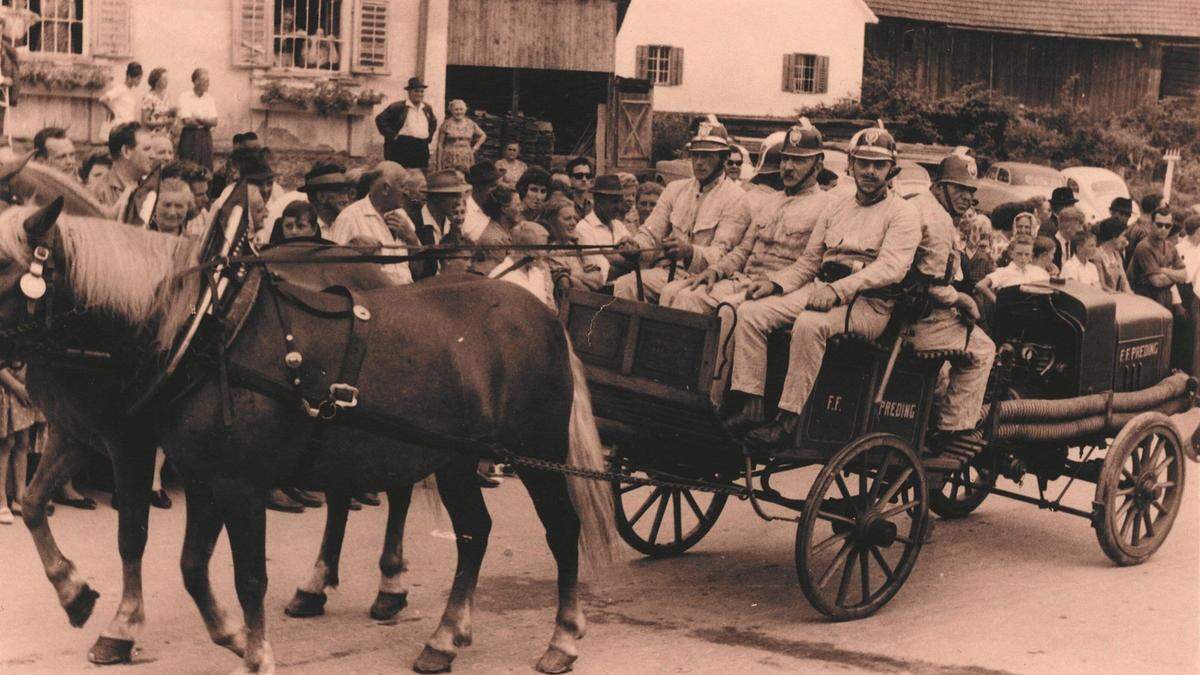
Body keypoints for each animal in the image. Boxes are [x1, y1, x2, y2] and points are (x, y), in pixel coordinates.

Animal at [0, 196, 614, 667]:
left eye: (6, 273)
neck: (204, 330)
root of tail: (542, 314)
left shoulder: (198, 467)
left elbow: (234, 571)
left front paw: (241, 650)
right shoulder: (172, 464)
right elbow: (180, 560)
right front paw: (215, 632)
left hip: (534, 451)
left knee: (560, 529)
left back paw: (561, 638)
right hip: (456, 457)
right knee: (470, 531)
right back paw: (439, 635)